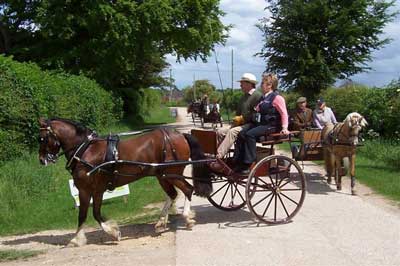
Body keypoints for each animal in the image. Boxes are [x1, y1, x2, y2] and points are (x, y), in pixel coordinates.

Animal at [38, 117, 212, 246]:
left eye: (42, 139)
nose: (41, 160)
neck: (86, 150)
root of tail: (180, 135)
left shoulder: (86, 190)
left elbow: (86, 215)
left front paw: (80, 238)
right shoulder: (97, 190)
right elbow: (95, 213)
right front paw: (112, 232)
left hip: (172, 174)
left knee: (188, 190)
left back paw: (187, 218)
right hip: (162, 175)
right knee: (172, 194)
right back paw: (161, 222)